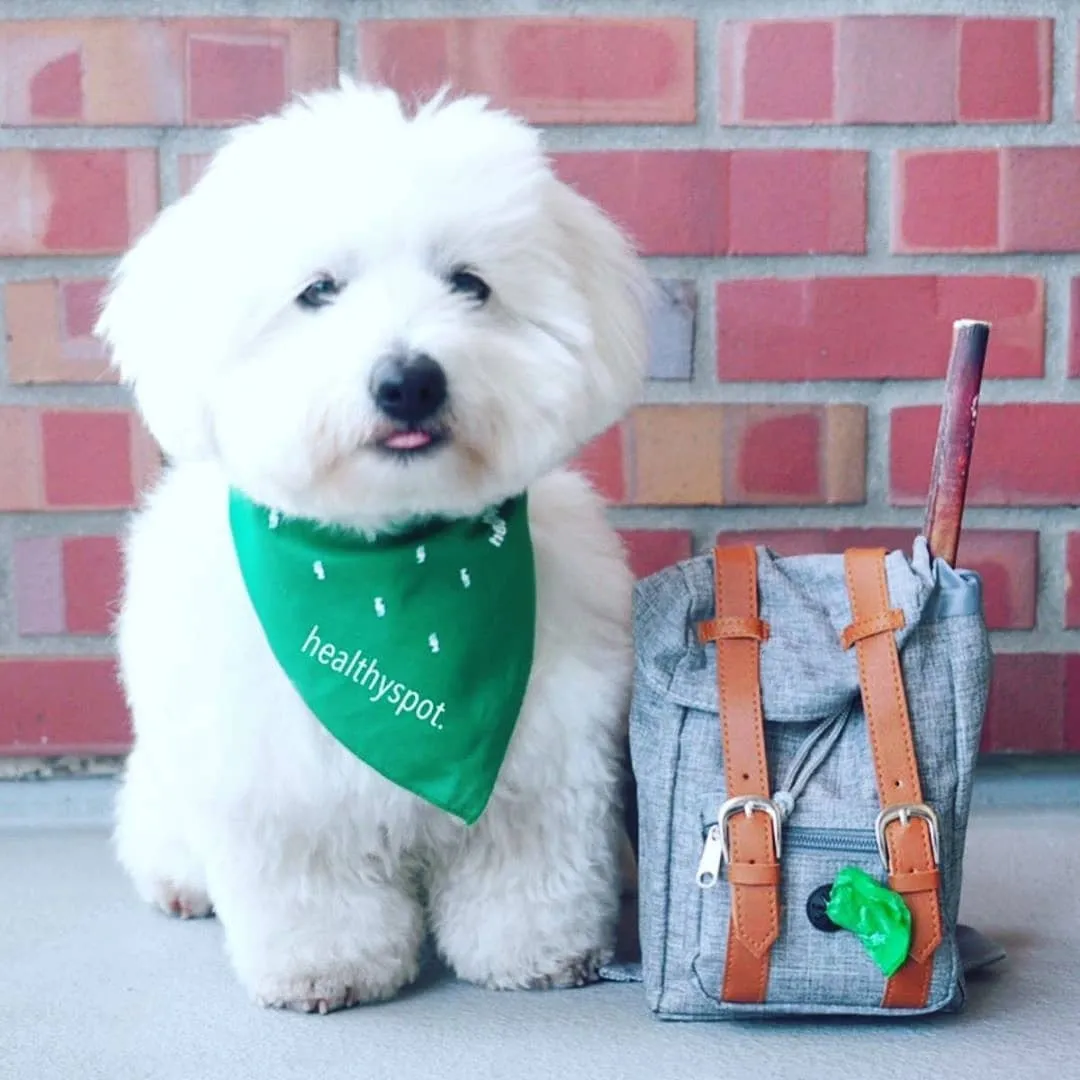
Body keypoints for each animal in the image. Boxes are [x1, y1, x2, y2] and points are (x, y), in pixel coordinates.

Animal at [97, 78, 643, 1010]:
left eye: (470, 284)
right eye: (319, 290)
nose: (408, 381)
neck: (397, 570)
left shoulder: (545, 756)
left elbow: (531, 873)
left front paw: (533, 951)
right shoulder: (279, 778)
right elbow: (314, 889)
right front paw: (326, 965)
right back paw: (180, 884)